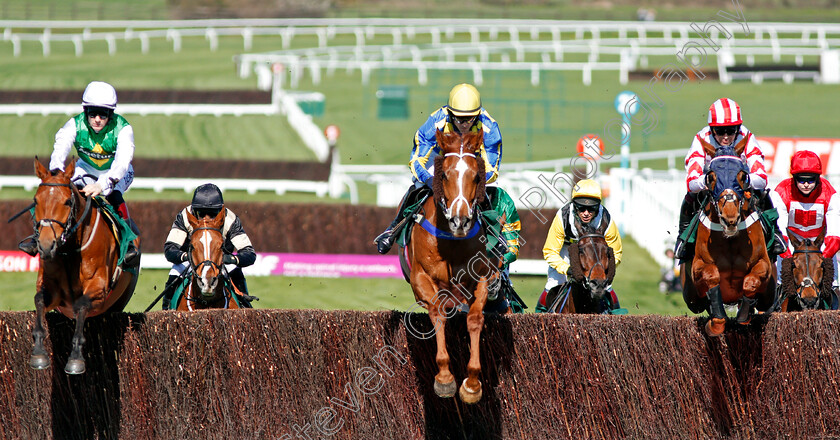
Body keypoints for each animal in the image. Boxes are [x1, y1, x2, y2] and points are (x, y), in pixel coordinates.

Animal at [29, 160, 138, 372]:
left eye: (67, 202)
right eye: (36, 201)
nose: (46, 245)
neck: (70, 249)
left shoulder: (99, 288)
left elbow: (81, 305)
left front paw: (76, 358)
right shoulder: (52, 289)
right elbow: (39, 299)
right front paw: (38, 353)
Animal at [404, 129, 502, 404]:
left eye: (476, 175)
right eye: (445, 175)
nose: (461, 220)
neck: (452, 244)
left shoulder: (480, 278)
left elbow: (475, 319)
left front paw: (472, 384)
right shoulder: (421, 278)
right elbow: (437, 314)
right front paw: (445, 378)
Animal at [684, 139, 776, 336]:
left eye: (742, 176)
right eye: (711, 177)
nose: (730, 218)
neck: (730, 239)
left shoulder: (763, 265)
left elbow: (751, 281)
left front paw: (744, 315)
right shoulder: (698, 267)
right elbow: (711, 274)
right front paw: (716, 322)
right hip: (691, 296)